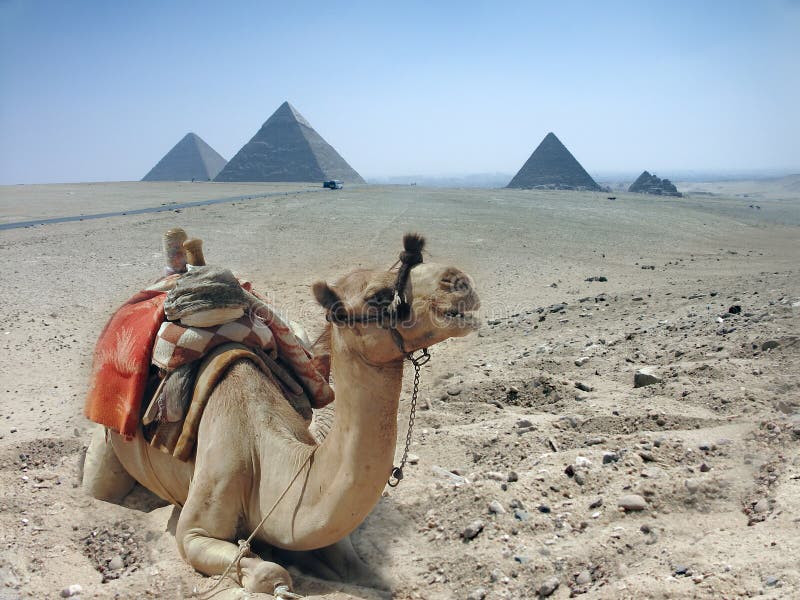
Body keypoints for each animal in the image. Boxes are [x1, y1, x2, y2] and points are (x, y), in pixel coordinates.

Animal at [82, 233, 482, 596]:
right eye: (378, 297)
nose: (459, 281)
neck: (266, 456)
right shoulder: (195, 528)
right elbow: (267, 572)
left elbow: (362, 572)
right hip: (107, 444)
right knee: (98, 488)